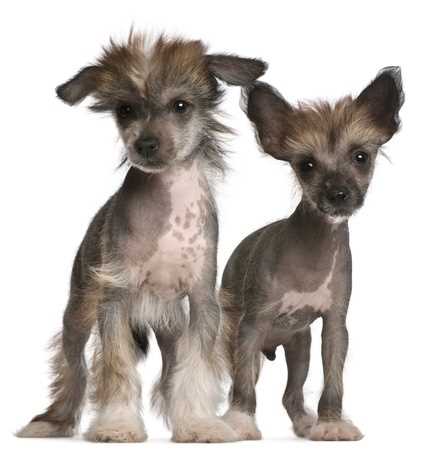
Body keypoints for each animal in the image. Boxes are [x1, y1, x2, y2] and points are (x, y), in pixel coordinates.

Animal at [17, 32, 268, 442]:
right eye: (125, 110)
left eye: (180, 106)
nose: (145, 144)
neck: (169, 204)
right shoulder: (114, 301)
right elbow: (117, 368)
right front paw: (118, 425)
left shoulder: (202, 304)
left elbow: (195, 370)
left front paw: (198, 423)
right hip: (78, 314)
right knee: (73, 369)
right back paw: (52, 421)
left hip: (172, 327)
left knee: (171, 372)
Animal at [221, 67, 406, 440]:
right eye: (306, 165)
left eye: (361, 157)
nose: (338, 194)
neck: (313, 251)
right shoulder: (250, 327)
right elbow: (243, 386)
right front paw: (240, 421)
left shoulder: (335, 327)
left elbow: (333, 381)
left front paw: (331, 422)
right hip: (233, 338)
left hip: (299, 348)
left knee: (290, 395)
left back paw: (306, 422)